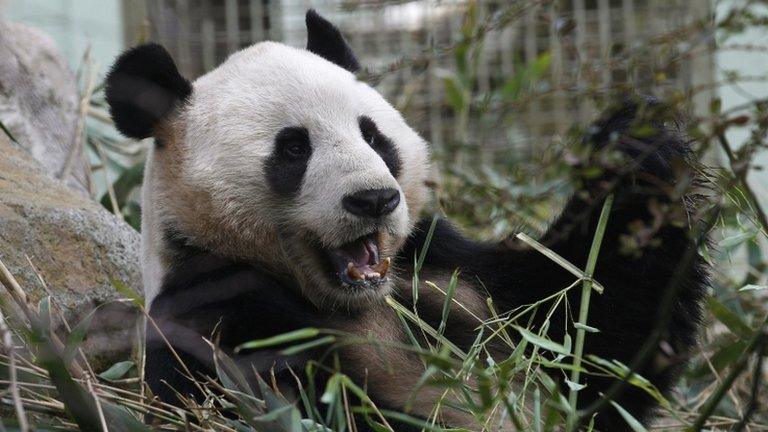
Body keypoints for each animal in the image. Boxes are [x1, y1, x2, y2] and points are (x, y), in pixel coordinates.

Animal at [106, 10, 708, 432]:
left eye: (374, 136)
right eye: (294, 148)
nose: (373, 199)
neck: (349, 300)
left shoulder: (444, 267)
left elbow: (591, 339)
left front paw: (636, 146)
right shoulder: (214, 306)